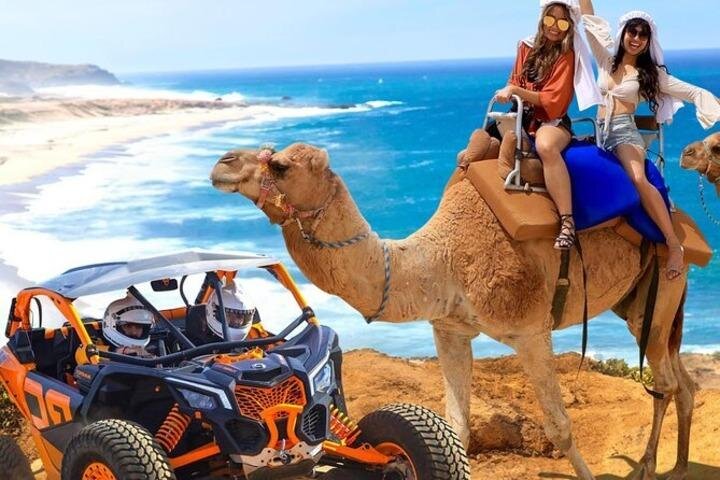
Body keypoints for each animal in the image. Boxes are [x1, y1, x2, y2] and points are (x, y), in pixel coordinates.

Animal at [210, 138, 696, 480]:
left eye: (279, 164)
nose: (223, 163)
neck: (442, 260)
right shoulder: (449, 328)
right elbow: (458, 427)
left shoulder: (530, 329)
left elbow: (559, 425)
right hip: (638, 302)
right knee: (681, 379)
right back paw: (678, 465)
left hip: (665, 282)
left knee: (665, 380)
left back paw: (651, 466)